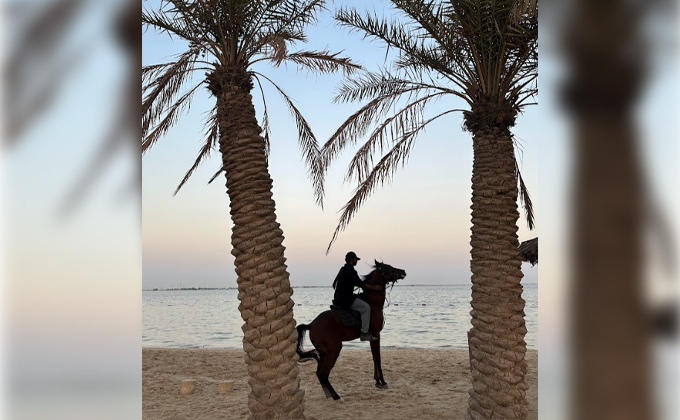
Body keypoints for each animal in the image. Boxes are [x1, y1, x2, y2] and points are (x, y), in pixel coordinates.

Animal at [295, 260, 407, 400]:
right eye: (387, 267)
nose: (403, 271)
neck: (373, 303)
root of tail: (311, 324)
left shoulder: (372, 337)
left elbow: (374, 357)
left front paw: (377, 381)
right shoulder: (376, 335)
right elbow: (378, 357)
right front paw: (382, 382)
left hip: (324, 353)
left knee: (319, 373)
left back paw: (329, 394)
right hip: (334, 350)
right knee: (323, 374)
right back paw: (336, 396)